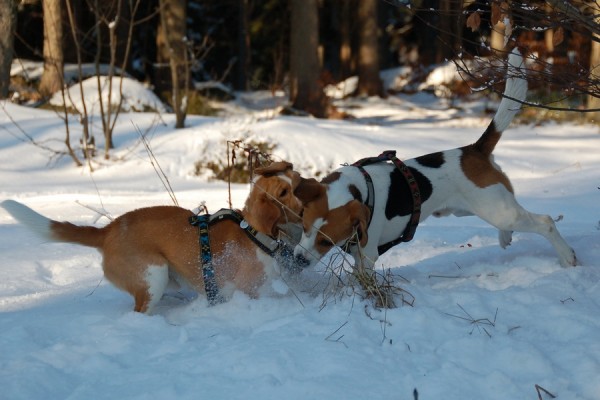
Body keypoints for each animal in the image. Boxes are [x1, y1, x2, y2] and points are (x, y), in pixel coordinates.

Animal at [1, 161, 304, 314]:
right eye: (283, 193)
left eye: (296, 181)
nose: (303, 208)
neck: (253, 232)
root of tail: (108, 230)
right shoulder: (250, 291)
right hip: (153, 277)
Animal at [294, 50, 576, 272]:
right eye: (304, 227)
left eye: (326, 241)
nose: (298, 261)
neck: (360, 189)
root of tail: (474, 149)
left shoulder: (367, 255)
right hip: (483, 207)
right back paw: (506, 237)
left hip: (498, 210)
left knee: (546, 222)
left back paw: (567, 257)